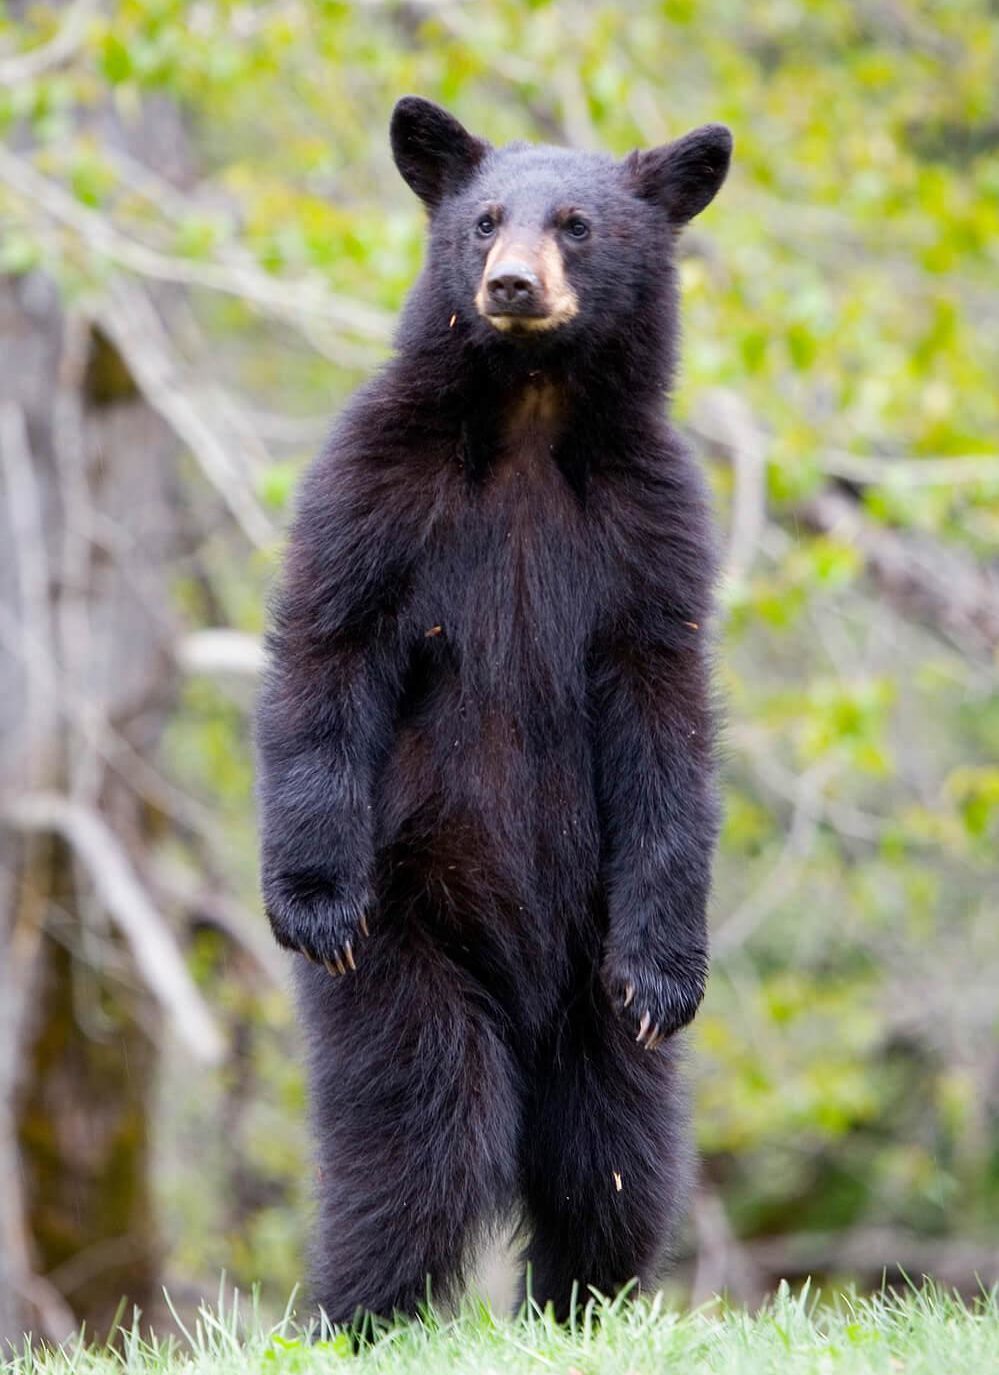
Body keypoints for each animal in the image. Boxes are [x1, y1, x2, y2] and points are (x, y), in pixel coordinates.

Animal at [254, 94, 731, 1320]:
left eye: (576, 223)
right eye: (481, 221)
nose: (511, 284)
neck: (527, 413)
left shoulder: (652, 526)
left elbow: (665, 716)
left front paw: (669, 973)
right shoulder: (372, 485)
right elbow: (329, 649)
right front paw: (312, 900)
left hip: (588, 953)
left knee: (612, 1146)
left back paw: (589, 1300)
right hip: (416, 911)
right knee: (424, 1122)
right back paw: (362, 1308)